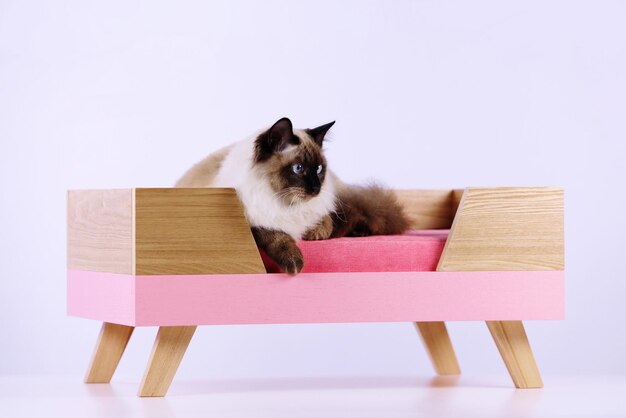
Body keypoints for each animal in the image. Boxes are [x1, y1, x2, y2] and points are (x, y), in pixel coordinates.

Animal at [176, 117, 410, 274]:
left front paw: (315, 233)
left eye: (318, 169)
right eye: (298, 169)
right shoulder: (254, 224)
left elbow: (325, 221)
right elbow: (277, 235)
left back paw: (359, 232)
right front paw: (294, 263)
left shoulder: (321, 207)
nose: (316, 189)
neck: (284, 203)